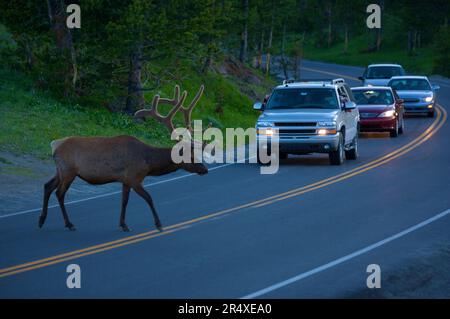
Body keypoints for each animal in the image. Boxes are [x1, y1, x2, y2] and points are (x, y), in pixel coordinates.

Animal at [38, 85, 207, 232]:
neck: (148, 162)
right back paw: (69, 224)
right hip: (68, 171)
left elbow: (124, 201)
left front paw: (123, 224)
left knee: (47, 186)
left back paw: (41, 220)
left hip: (60, 170)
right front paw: (158, 224)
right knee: (59, 193)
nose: (204, 169)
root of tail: (54, 144)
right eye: (190, 155)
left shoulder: (125, 180)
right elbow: (149, 198)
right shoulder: (134, 177)